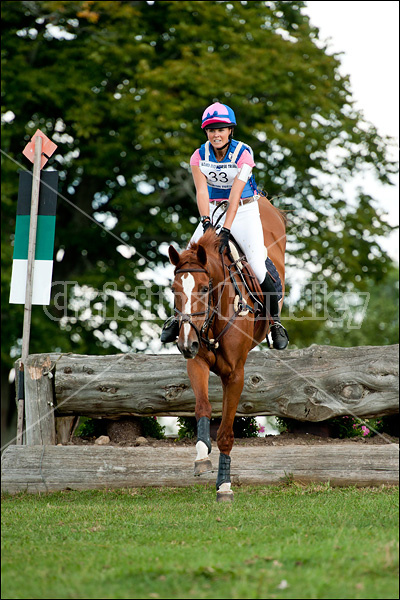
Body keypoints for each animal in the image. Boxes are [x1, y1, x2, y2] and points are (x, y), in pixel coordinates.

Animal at [167, 197, 286, 502]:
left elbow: (225, 433)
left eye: (205, 288)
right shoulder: (196, 361)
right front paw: (201, 457)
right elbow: (202, 407)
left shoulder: (235, 374)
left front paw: (224, 485)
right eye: (173, 289)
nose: (184, 343)